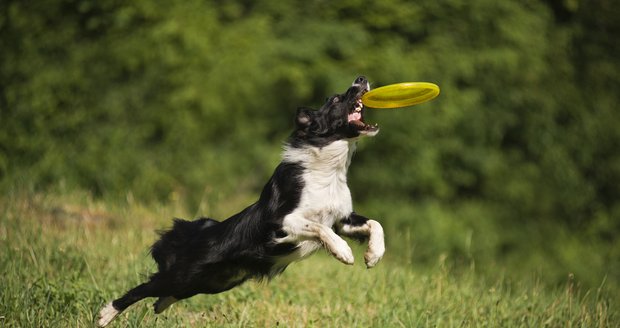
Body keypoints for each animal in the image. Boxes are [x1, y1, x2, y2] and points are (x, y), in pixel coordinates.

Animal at [97, 76, 386, 326]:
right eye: (336, 99)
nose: (361, 78)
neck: (328, 170)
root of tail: (196, 232)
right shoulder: (281, 221)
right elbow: (319, 228)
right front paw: (344, 252)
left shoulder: (342, 219)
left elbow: (375, 224)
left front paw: (373, 256)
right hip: (183, 275)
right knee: (143, 288)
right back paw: (105, 314)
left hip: (212, 283)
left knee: (162, 295)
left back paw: (158, 306)